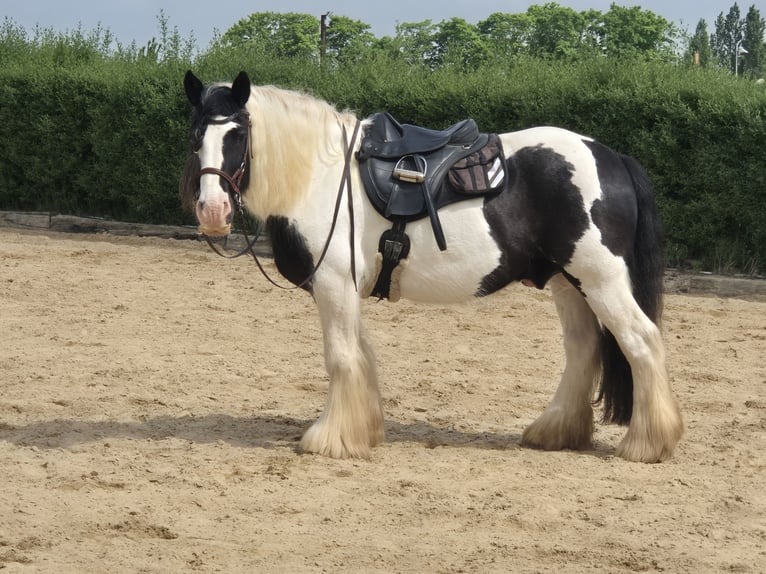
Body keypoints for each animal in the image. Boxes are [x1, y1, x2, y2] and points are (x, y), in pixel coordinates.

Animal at [180, 70, 683, 463]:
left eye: (237, 133)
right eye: (195, 135)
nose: (212, 211)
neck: (318, 178)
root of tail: (612, 158)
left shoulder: (334, 285)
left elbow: (340, 357)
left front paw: (330, 439)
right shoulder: (347, 290)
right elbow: (362, 355)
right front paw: (363, 430)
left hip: (600, 280)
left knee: (641, 342)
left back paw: (647, 444)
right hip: (568, 282)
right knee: (583, 350)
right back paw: (555, 432)